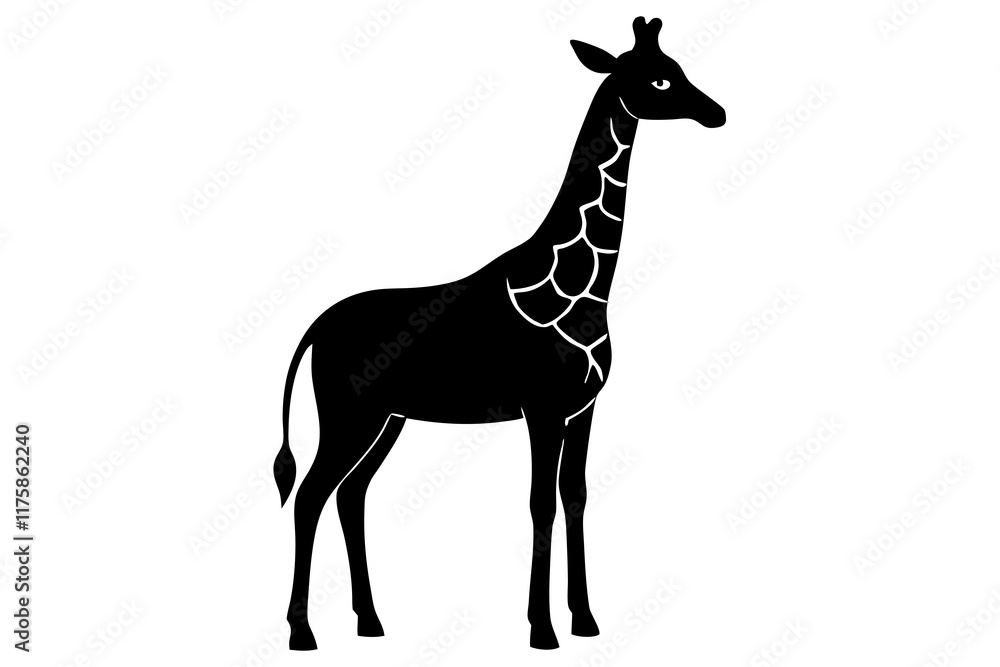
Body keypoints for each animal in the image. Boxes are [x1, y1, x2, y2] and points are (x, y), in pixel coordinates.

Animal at [273, 16, 725, 651]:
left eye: (679, 68)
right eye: (660, 78)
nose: (717, 113)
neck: (581, 290)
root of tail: (315, 326)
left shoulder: (583, 406)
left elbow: (575, 496)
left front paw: (585, 621)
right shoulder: (542, 406)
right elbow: (539, 504)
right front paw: (542, 630)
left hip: (386, 417)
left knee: (349, 494)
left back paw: (371, 622)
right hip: (348, 413)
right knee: (310, 496)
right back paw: (302, 632)